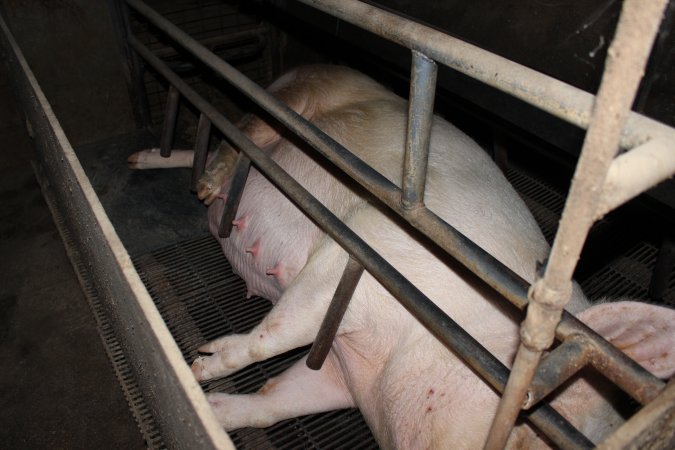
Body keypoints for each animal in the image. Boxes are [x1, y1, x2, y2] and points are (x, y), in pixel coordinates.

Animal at [128, 65, 675, 448]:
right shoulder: (374, 246)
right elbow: (276, 333)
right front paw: (205, 360)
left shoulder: (347, 374)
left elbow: (276, 399)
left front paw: (204, 397)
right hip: (299, 89)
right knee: (245, 124)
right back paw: (186, 176)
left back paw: (147, 162)